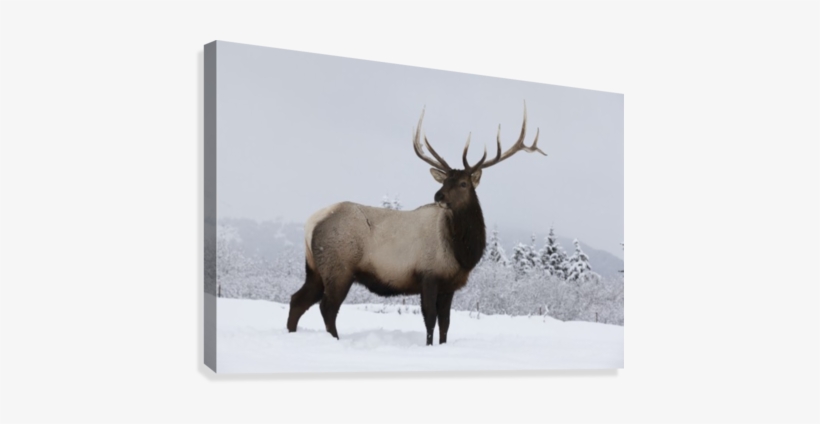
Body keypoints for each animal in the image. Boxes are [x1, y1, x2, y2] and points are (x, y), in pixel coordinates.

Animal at [286, 104, 546, 345]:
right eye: (445, 181)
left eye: (463, 183)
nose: (438, 195)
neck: (462, 253)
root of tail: (312, 223)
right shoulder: (428, 275)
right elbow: (430, 319)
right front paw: (429, 346)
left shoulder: (449, 284)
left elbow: (446, 322)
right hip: (339, 267)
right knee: (327, 307)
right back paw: (335, 340)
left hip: (315, 269)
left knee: (297, 300)